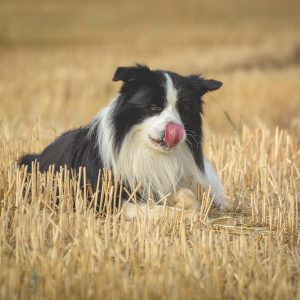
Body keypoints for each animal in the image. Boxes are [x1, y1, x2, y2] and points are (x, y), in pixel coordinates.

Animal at [18, 64, 230, 217]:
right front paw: (190, 215)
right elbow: (163, 211)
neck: (146, 151)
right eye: (154, 106)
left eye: (184, 111)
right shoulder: (108, 200)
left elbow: (187, 195)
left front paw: (186, 202)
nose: (175, 131)